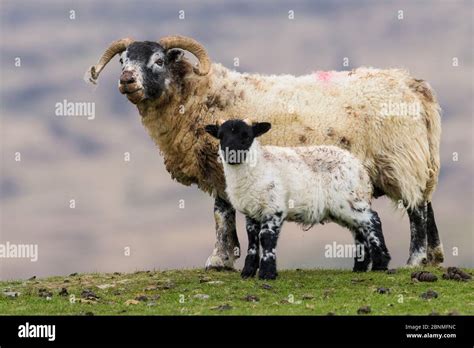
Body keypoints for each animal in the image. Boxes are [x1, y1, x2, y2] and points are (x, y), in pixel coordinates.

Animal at [204, 119, 388, 280]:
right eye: (220, 136)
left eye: (247, 135)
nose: (231, 153)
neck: (260, 165)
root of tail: (360, 168)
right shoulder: (252, 211)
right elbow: (252, 241)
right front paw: (248, 272)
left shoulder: (274, 208)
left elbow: (266, 238)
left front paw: (267, 273)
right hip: (344, 208)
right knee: (360, 231)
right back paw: (360, 267)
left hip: (350, 200)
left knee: (373, 221)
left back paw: (381, 264)